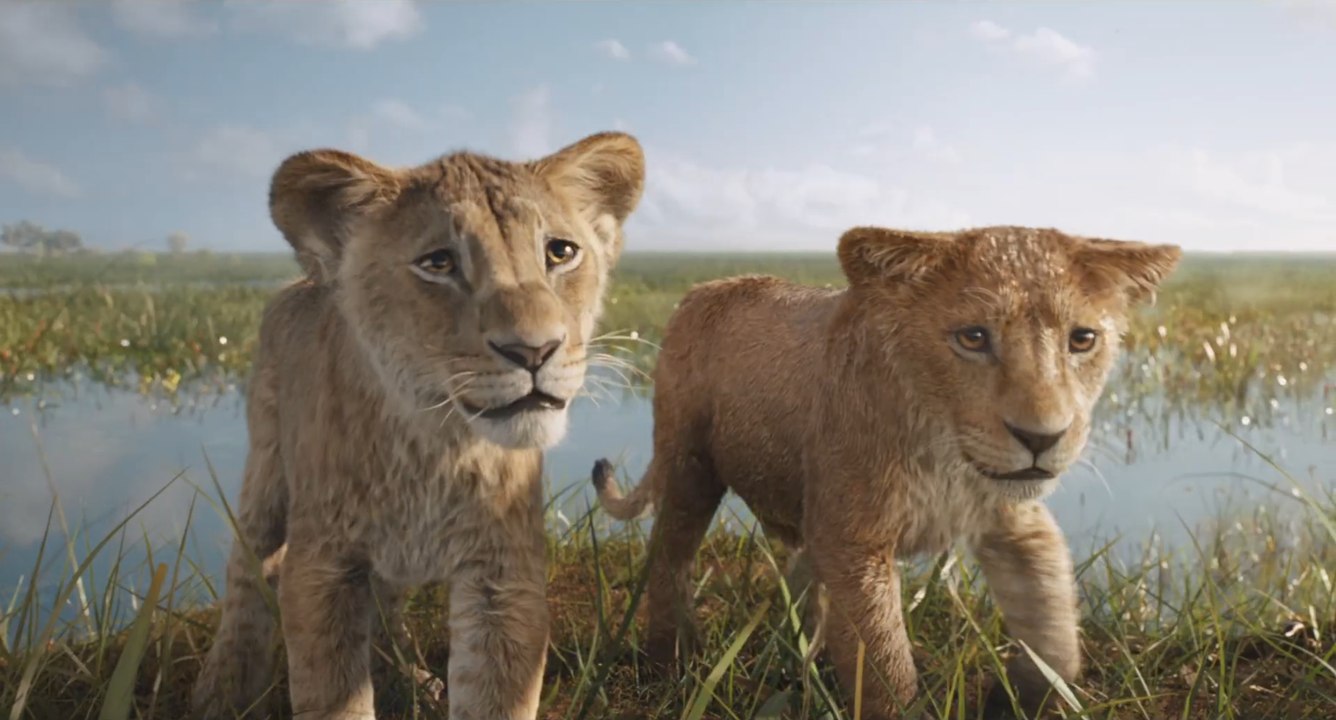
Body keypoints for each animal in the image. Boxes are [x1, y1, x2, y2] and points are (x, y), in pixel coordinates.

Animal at [190, 131, 645, 720]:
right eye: (439, 262)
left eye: (560, 252)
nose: (534, 351)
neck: (435, 445)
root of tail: (302, 279)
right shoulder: (322, 568)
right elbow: (332, 696)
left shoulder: (503, 577)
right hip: (266, 471)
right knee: (248, 574)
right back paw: (220, 692)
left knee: (385, 603)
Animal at [592, 225, 1180, 719]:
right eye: (972, 338)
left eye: (1082, 340)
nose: (1042, 439)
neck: (945, 453)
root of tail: (705, 287)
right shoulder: (855, 540)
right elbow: (886, 666)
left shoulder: (1015, 523)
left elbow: (1055, 627)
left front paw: (1023, 697)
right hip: (689, 463)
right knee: (669, 557)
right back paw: (672, 663)